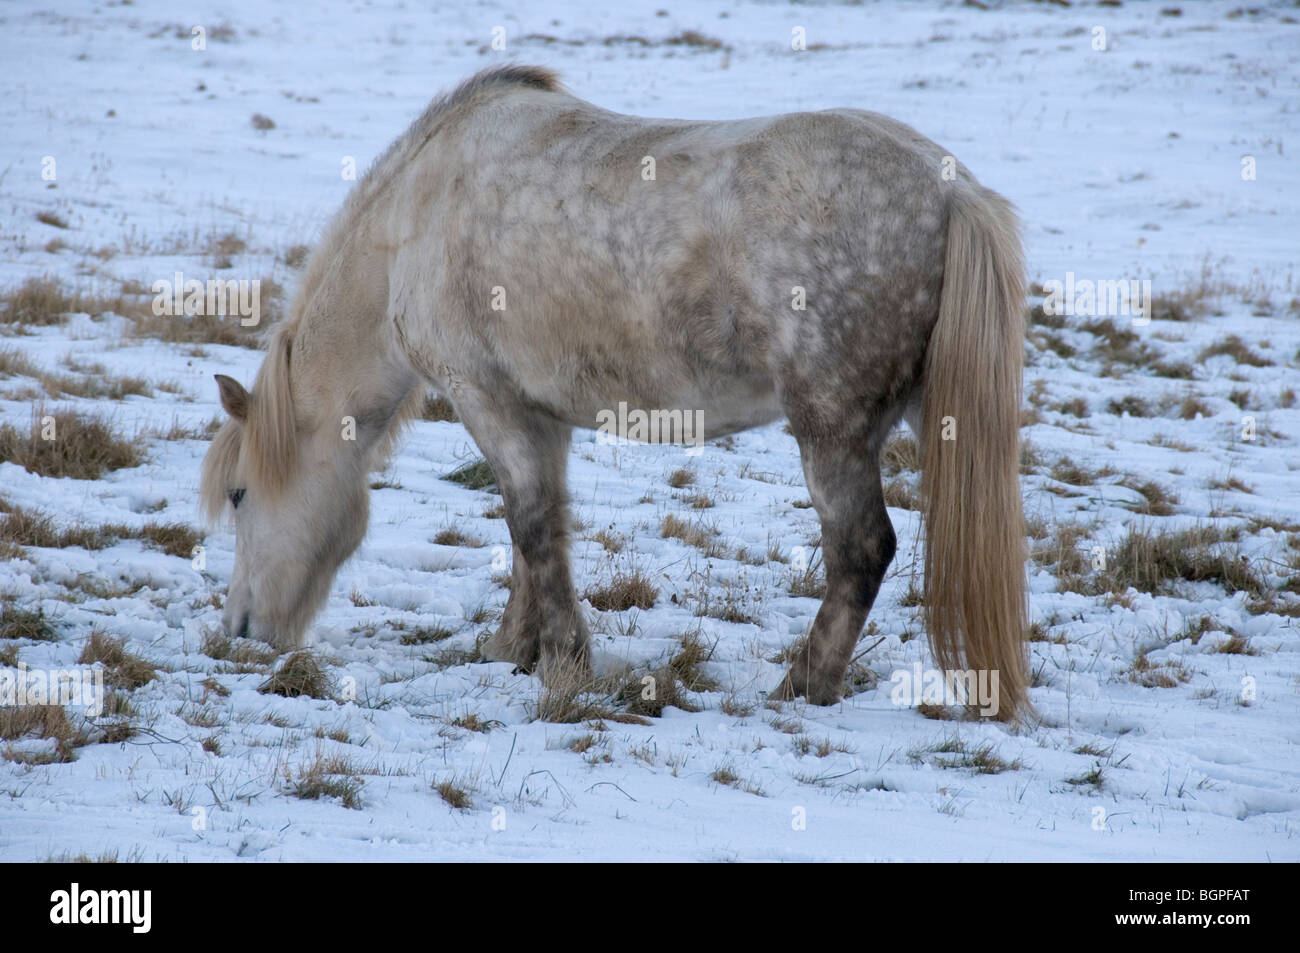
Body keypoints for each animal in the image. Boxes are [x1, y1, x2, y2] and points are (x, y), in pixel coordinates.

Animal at [202, 66, 1029, 717]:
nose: (241, 630)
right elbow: (536, 532)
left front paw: (565, 663)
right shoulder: (540, 415)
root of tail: (951, 193)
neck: (415, 221)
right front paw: (514, 647)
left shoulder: (487, 399)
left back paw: (800, 686)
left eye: (241, 495)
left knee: (861, 548)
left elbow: (532, 525)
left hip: (830, 428)